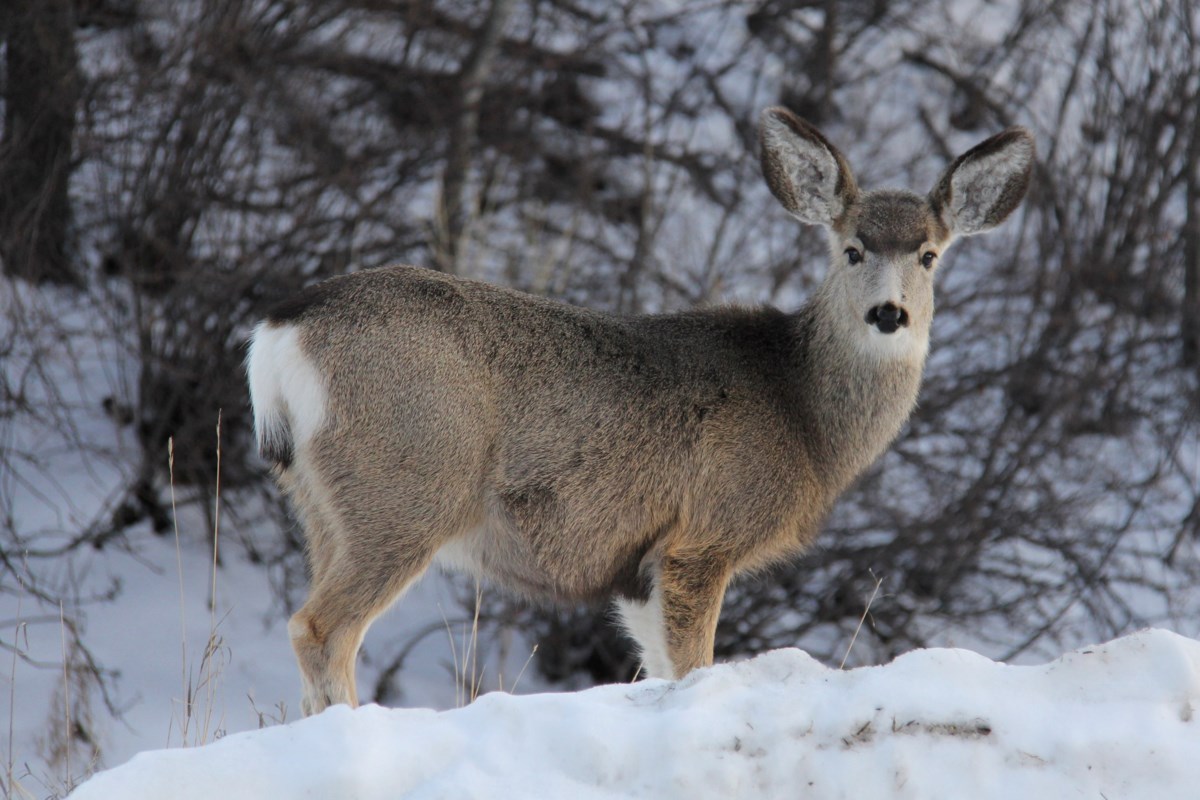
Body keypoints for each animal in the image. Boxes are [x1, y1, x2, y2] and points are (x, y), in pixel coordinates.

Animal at [248, 106, 1036, 714]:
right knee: (319, 628)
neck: (804, 413)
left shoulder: (635, 569)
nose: (888, 314)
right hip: (406, 486)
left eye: (929, 254)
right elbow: (694, 666)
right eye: (852, 249)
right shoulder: (705, 533)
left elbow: (657, 667)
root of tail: (281, 329)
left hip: (320, 501)